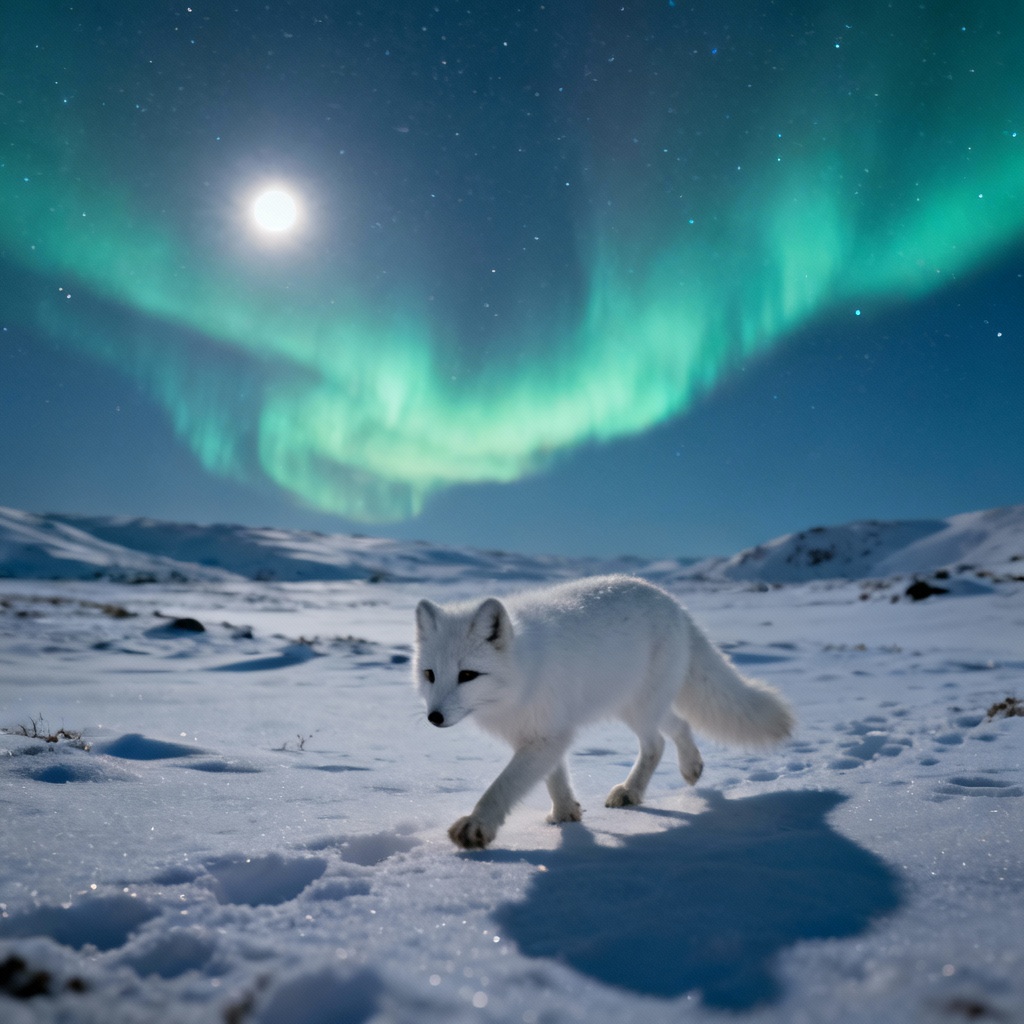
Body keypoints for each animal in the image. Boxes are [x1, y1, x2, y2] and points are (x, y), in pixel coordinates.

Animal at [413, 574, 794, 849]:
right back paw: (690, 767)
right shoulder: (546, 731)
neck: (523, 670)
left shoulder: (546, 734)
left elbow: (503, 786)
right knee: (678, 725)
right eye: (430, 674)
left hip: (639, 707)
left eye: (467, 675)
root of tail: (674, 603)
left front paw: (477, 826)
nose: (434, 718)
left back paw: (632, 790)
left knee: (656, 743)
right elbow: (555, 778)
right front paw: (565, 814)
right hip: (635, 705)